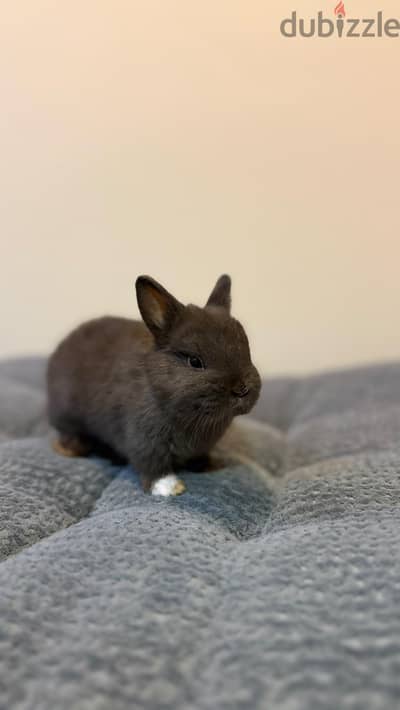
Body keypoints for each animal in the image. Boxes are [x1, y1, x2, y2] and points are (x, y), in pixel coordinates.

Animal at [47, 274, 262, 496]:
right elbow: (152, 465)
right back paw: (70, 449)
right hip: (66, 415)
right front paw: (169, 487)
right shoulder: (143, 441)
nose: (242, 389)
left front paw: (209, 465)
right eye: (194, 361)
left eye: (247, 351)